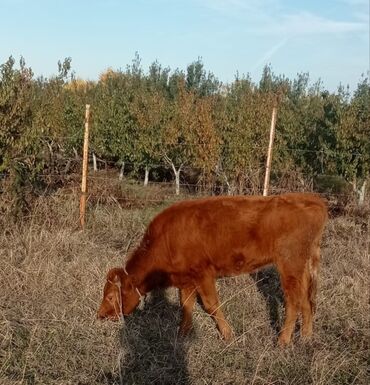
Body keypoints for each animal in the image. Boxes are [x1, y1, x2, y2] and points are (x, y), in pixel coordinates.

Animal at [97, 192, 326, 344]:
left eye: (110, 296)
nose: (100, 316)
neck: (166, 239)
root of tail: (311, 199)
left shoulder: (203, 273)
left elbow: (211, 305)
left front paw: (228, 334)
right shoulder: (186, 278)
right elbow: (186, 305)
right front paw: (183, 334)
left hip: (289, 264)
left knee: (293, 301)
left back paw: (283, 341)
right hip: (303, 267)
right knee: (307, 300)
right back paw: (306, 337)